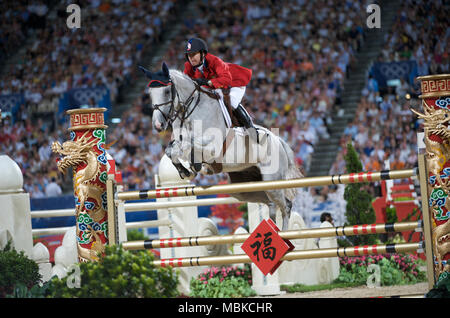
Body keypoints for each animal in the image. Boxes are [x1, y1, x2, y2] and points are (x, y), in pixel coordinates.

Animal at [141, 62, 302, 231]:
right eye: (150, 93)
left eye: (166, 91)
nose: (158, 125)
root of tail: (279, 141)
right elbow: (171, 150)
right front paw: (185, 171)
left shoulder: (213, 148)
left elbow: (188, 145)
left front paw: (196, 166)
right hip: (247, 188)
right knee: (272, 203)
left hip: (273, 182)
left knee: (286, 206)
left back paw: (284, 234)